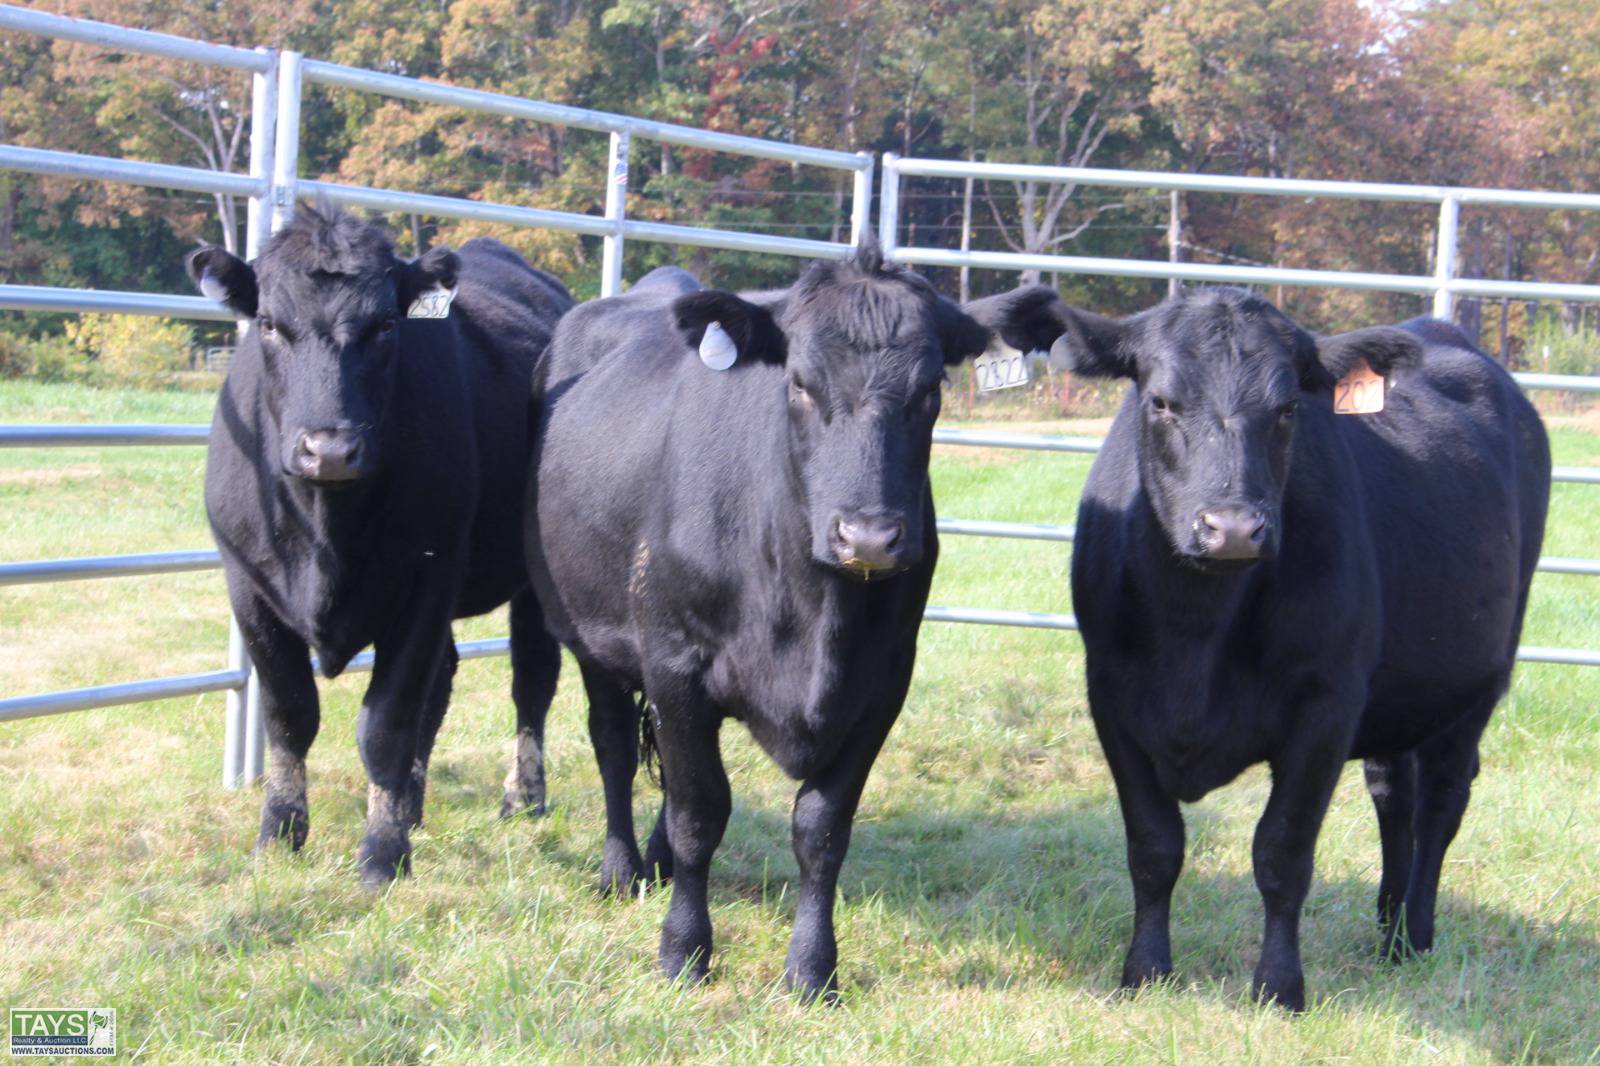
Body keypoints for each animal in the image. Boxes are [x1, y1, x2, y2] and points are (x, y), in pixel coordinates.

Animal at [186, 204, 574, 886]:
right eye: (269, 324)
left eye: (386, 324)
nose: (331, 449)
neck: (325, 531)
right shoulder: (247, 587)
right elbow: (290, 715)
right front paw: (279, 835)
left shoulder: (429, 579)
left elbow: (385, 721)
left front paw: (382, 853)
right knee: (443, 680)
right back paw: (412, 804)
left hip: (532, 576)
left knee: (532, 676)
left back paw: (522, 796)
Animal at [523, 245, 993, 1000]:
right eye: (799, 384)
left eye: (930, 391)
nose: (868, 537)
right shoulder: (676, 662)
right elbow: (700, 814)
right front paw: (683, 950)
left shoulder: (882, 685)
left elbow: (821, 828)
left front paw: (812, 968)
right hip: (588, 632)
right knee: (615, 746)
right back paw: (622, 869)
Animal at [967, 285, 1550, 1011]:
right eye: (1161, 402)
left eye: (1287, 408)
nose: (1234, 527)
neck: (1195, 632)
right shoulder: (1112, 698)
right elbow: (1154, 848)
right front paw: (1145, 972)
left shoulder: (1326, 704)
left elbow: (1282, 853)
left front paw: (1279, 986)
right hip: (1399, 691)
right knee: (1394, 796)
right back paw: (1385, 928)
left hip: (1478, 681)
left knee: (1442, 802)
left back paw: (1412, 935)